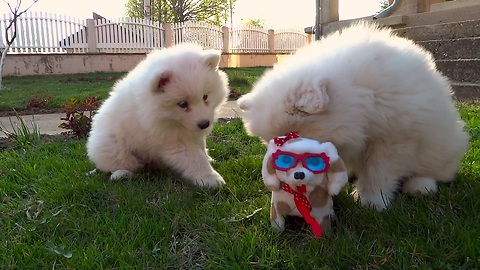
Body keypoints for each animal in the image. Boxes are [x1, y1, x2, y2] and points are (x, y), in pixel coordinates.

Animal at [87, 43, 229, 188]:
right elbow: (195, 158)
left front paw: (208, 158)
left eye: (205, 97)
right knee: (120, 165)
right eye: (182, 104)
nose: (204, 124)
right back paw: (121, 174)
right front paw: (210, 178)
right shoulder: (172, 140)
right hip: (114, 147)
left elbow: (201, 147)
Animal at [240, 23, 468, 211]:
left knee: (436, 171)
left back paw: (420, 186)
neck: (360, 98)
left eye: (293, 136)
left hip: (441, 146)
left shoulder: (393, 138)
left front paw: (372, 201)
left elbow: (379, 171)